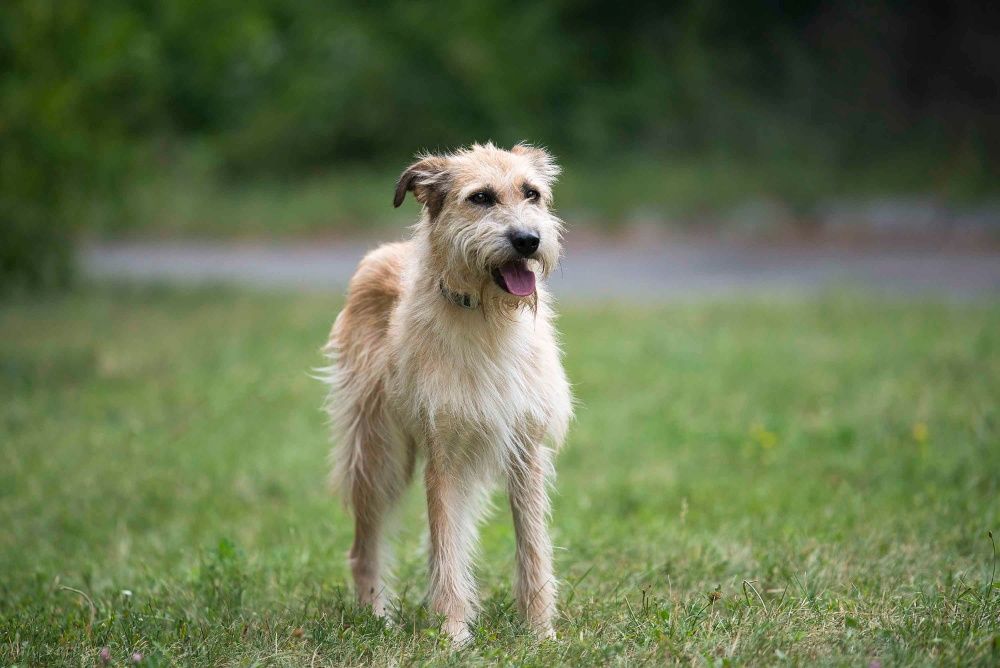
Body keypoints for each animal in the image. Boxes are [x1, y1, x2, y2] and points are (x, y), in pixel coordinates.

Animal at [320, 144, 572, 644]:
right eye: (480, 198)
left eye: (531, 193)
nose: (528, 240)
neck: (489, 318)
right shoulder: (444, 455)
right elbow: (445, 548)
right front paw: (454, 636)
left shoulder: (526, 451)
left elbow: (533, 547)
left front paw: (540, 634)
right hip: (378, 454)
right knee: (366, 545)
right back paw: (376, 616)